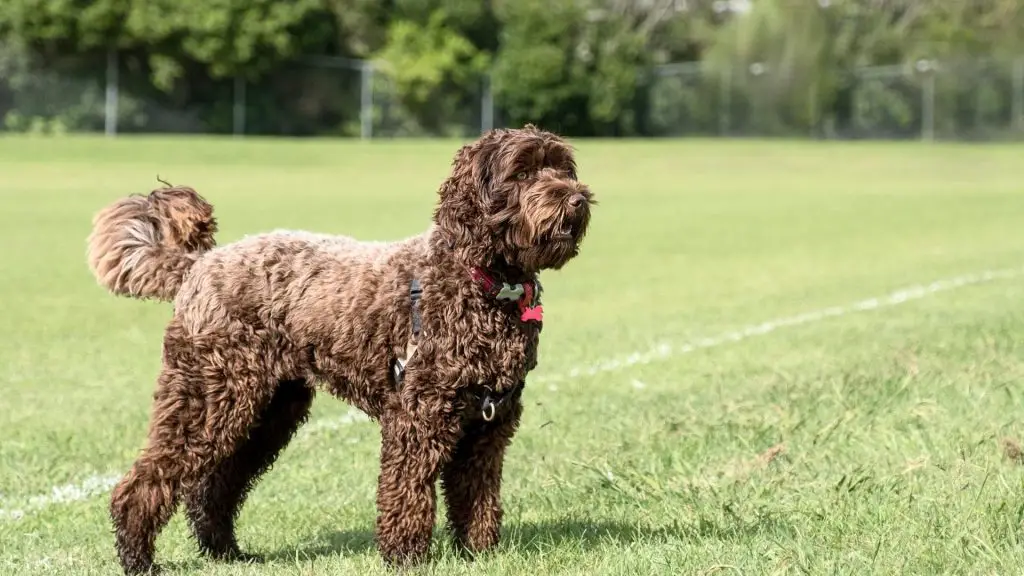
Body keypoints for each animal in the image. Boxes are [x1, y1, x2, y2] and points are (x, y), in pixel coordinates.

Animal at [89, 123, 598, 569]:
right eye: (522, 173)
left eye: (563, 167)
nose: (577, 198)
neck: (482, 283)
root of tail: (198, 264)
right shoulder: (418, 416)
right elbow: (408, 490)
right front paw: (406, 557)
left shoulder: (489, 424)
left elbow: (477, 495)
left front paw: (479, 554)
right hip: (207, 397)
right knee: (146, 482)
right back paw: (138, 559)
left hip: (268, 410)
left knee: (213, 488)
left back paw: (227, 553)